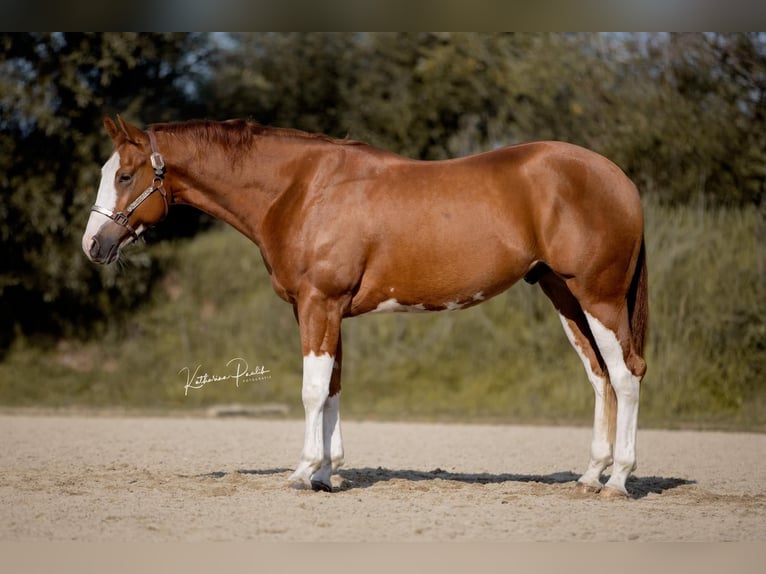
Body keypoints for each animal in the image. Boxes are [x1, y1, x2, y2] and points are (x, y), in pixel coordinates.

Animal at [82, 116, 648, 497]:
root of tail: (619, 179)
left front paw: (302, 471)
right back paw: (590, 476)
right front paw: (327, 474)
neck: (300, 190)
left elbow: (311, 391)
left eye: (126, 176)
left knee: (626, 375)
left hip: (598, 297)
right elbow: (332, 389)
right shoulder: (323, 311)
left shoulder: (320, 304)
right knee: (599, 377)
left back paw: (618, 479)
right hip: (564, 297)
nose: (92, 246)